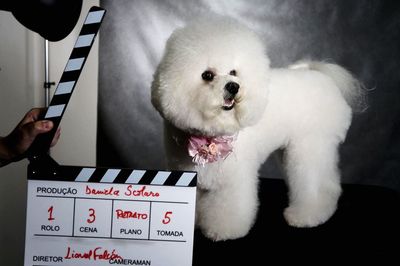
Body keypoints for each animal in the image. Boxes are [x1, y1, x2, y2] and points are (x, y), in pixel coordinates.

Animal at [151, 16, 366, 241]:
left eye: (233, 72)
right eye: (207, 75)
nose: (233, 86)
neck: (210, 136)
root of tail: (324, 78)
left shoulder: (233, 180)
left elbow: (229, 207)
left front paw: (223, 230)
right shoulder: (191, 175)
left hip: (311, 145)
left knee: (316, 181)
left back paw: (308, 215)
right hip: (289, 151)